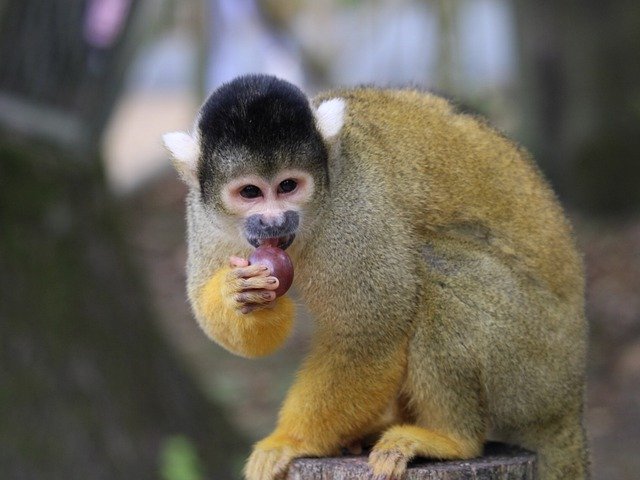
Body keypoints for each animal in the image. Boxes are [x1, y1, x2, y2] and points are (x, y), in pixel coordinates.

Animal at [165, 75, 592, 480]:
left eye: (288, 186)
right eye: (250, 192)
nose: (274, 221)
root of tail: (569, 398)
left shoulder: (355, 211)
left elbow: (369, 333)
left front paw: (291, 441)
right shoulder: (203, 213)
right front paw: (242, 295)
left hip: (532, 360)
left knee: (438, 268)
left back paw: (452, 439)